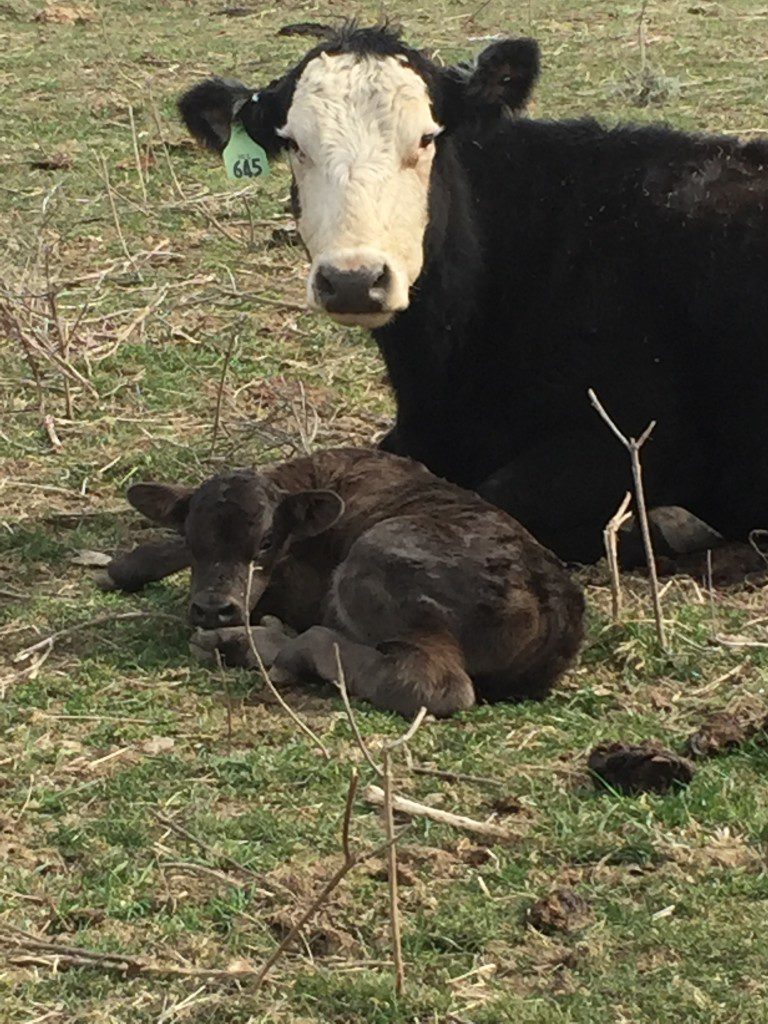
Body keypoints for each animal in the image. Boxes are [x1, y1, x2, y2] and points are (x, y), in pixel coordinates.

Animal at [106, 448, 584, 718]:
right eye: (192, 535)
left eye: (266, 540)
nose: (212, 608)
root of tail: (556, 611)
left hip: (373, 557)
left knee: (436, 684)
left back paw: (255, 645)